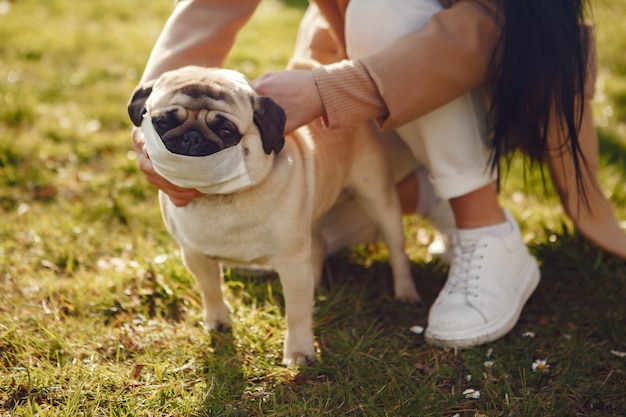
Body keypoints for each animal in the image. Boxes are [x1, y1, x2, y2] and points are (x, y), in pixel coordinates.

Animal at [127, 65, 420, 364]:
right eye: (162, 123)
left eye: (226, 130)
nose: (192, 137)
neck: (222, 197)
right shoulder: (196, 256)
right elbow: (211, 291)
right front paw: (218, 322)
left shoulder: (292, 263)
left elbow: (297, 312)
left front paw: (300, 351)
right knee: (318, 245)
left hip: (378, 198)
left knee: (397, 251)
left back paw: (406, 293)